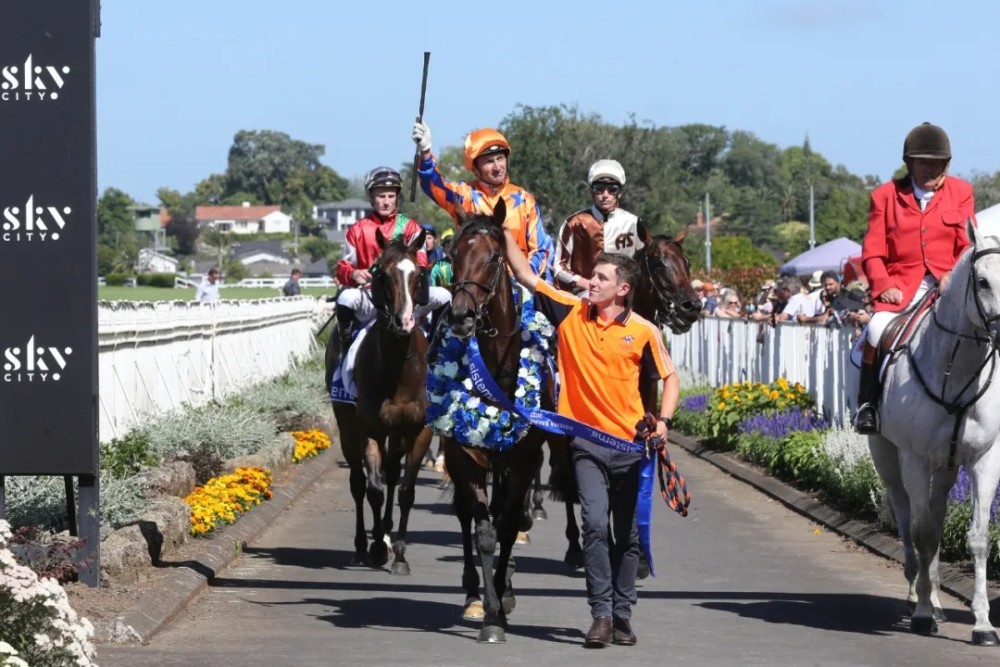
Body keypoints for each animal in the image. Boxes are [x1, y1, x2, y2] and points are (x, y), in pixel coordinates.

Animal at [320, 230, 430, 576]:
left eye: (419, 274)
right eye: (382, 273)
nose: (403, 322)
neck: (398, 372)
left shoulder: (419, 430)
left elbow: (405, 491)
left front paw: (399, 554)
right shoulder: (369, 428)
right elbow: (374, 490)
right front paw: (378, 548)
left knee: (393, 474)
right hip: (347, 424)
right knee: (358, 482)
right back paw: (362, 546)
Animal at [868, 222, 1000, 644]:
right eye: (982, 281)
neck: (957, 371)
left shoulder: (983, 460)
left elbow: (978, 537)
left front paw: (982, 623)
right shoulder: (914, 458)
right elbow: (922, 533)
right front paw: (923, 613)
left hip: (945, 466)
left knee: (937, 514)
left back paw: (938, 599)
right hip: (889, 458)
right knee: (906, 515)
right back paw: (917, 595)